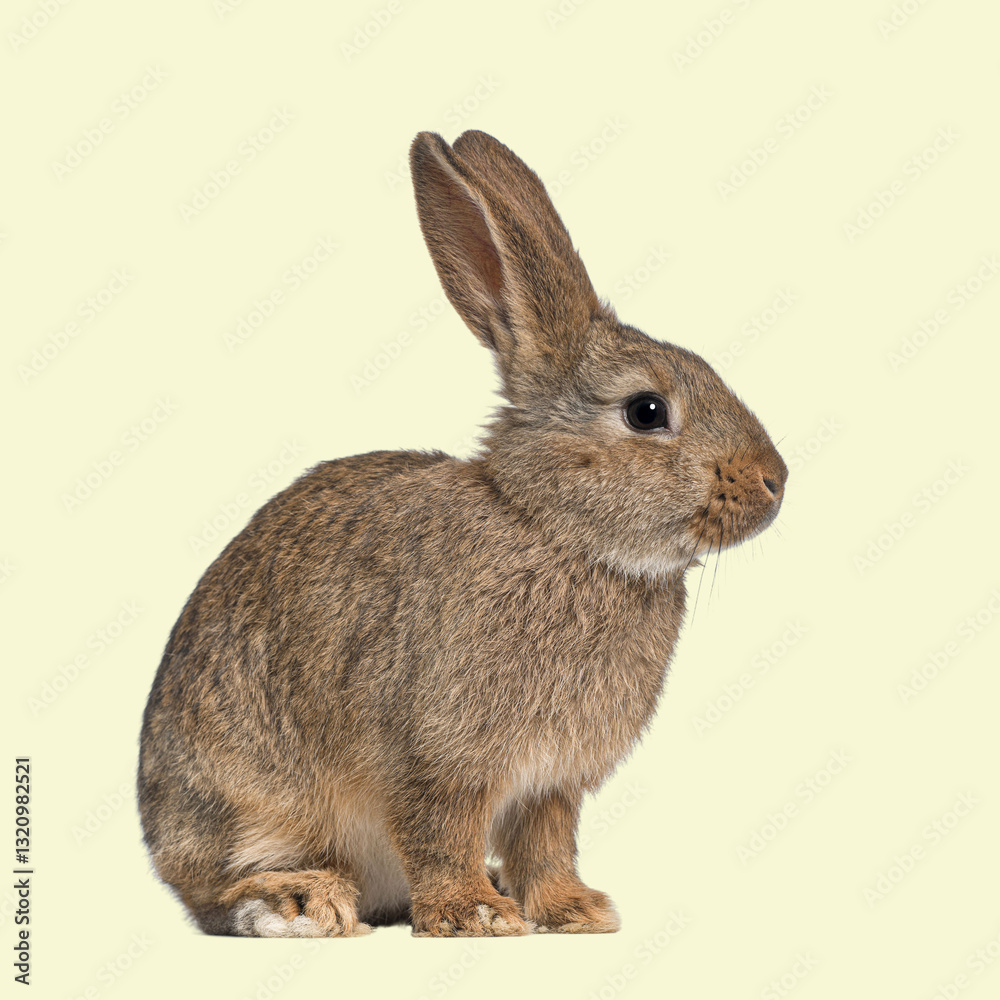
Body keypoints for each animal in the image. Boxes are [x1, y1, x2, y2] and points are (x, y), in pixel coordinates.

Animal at [137, 129, 787, 939]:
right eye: (646, 411)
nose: (775, 481)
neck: (555, 529)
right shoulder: (435, 756)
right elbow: (440, 832)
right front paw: (474, 915)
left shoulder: (549, 783)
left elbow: (547, 844)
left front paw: (573, 911)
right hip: (244, 798)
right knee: (213, 890)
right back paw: (299, 902)